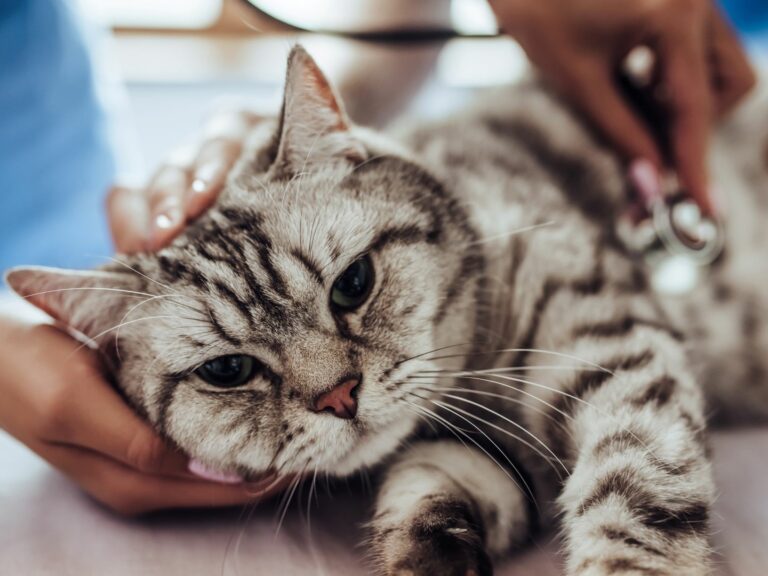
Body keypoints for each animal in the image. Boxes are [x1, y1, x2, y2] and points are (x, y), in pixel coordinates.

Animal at [6, 46, 768, 576]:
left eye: (353, 283)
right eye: (227, 371)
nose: (340, 397)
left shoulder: (618, 357)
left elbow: (631, 500)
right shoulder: (471, 456)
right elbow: (423, 502)